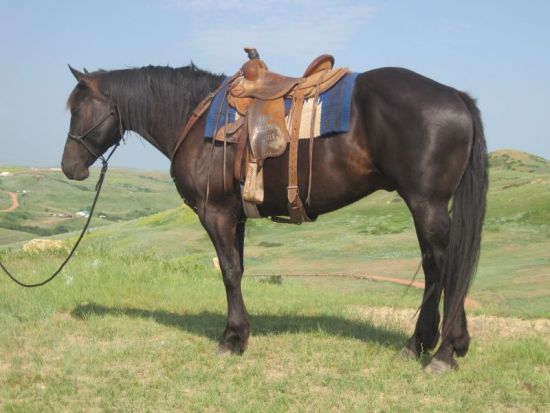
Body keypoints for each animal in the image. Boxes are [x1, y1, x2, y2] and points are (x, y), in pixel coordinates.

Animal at [62, 62, 490, 374]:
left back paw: (442, 353)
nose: (69, 167)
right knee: (438, 268)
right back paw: (430, 344)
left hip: (426, 204)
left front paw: (232, 339)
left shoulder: (215, 213)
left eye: (77, 110)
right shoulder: (235, 217)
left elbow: (229, 272)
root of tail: (455, 97)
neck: (194, 118)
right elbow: (237, 269)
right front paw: (240, 334)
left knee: (447, 267)